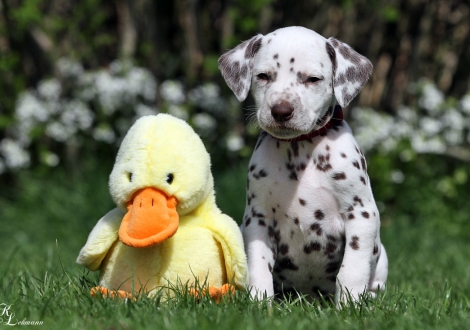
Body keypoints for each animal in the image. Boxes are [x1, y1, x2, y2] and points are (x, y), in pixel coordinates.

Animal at [218, 26, 388, 304]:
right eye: (263, 76)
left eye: (313, 79)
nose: (281, 110)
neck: (299, 149)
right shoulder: (258, 219)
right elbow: (258, 266)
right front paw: (259, 303)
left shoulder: (361, 214)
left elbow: (352, 269)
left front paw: (350, 306)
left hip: (381, 256)